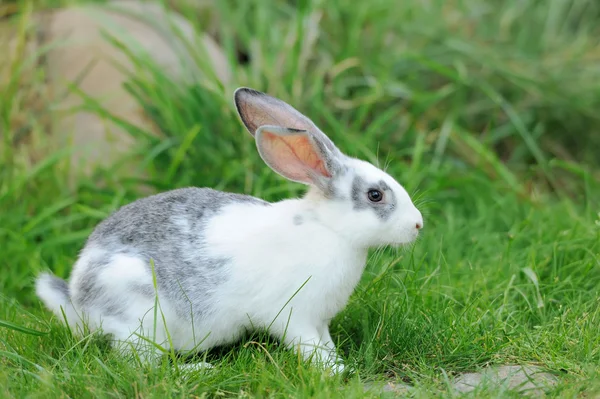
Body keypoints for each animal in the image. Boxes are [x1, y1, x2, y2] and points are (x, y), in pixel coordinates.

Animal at [35, 88, 424, 376]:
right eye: (375, 195)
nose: (418, 224)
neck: (329, 230)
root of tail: (79, 298)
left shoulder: (320, 320)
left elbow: (324, 341)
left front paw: (339, 362)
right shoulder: (294, 316)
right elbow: (308, 346)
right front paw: (336, 370)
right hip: (142, 317)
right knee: (142, 366)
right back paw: (197, 370)